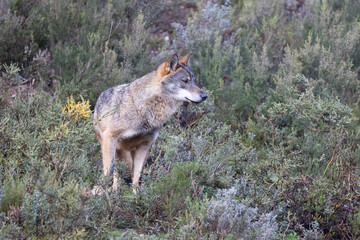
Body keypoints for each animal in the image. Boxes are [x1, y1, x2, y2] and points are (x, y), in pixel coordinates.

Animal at [93, 53, 208, 193]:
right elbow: (109, 171)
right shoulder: (111, 137)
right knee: (116, 172)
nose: (205, 96)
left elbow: (136, 176)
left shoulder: (145, 145)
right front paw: (104, 191)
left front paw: (136, 196)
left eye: (194, 81)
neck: (143, 108)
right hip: (111, 147)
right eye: (185, 81)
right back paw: (114, 190)